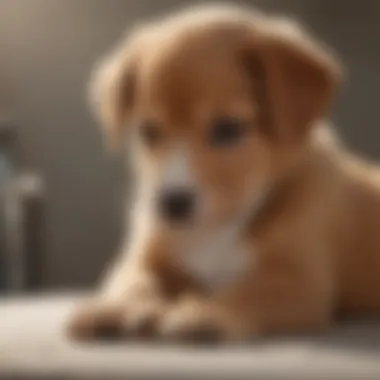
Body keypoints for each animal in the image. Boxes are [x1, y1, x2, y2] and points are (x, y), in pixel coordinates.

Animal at [67, 4, 380, 342]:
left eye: (227, 129)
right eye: (147, 131)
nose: (171, 203)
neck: (218, 228)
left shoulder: (299, 282)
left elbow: (244, 293)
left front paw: (204, 311)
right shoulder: (143, 257)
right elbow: (133, 281)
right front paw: (114, 308)